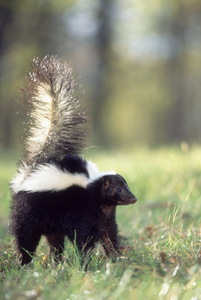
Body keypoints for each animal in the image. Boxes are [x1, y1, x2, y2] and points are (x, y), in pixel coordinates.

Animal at [10, 55, 137, 264]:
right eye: (118, 190)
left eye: (127, 186)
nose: (133, 198)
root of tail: (30, 171)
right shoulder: (81, 212)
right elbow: (83, 238)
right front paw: (86, 262)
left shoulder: (105, 217)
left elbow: (109, 235)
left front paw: (116, 257)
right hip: (28, 211)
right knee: (26, 238)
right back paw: (24, 263)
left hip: (50, 220)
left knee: (54, 239)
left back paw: (56, 261)